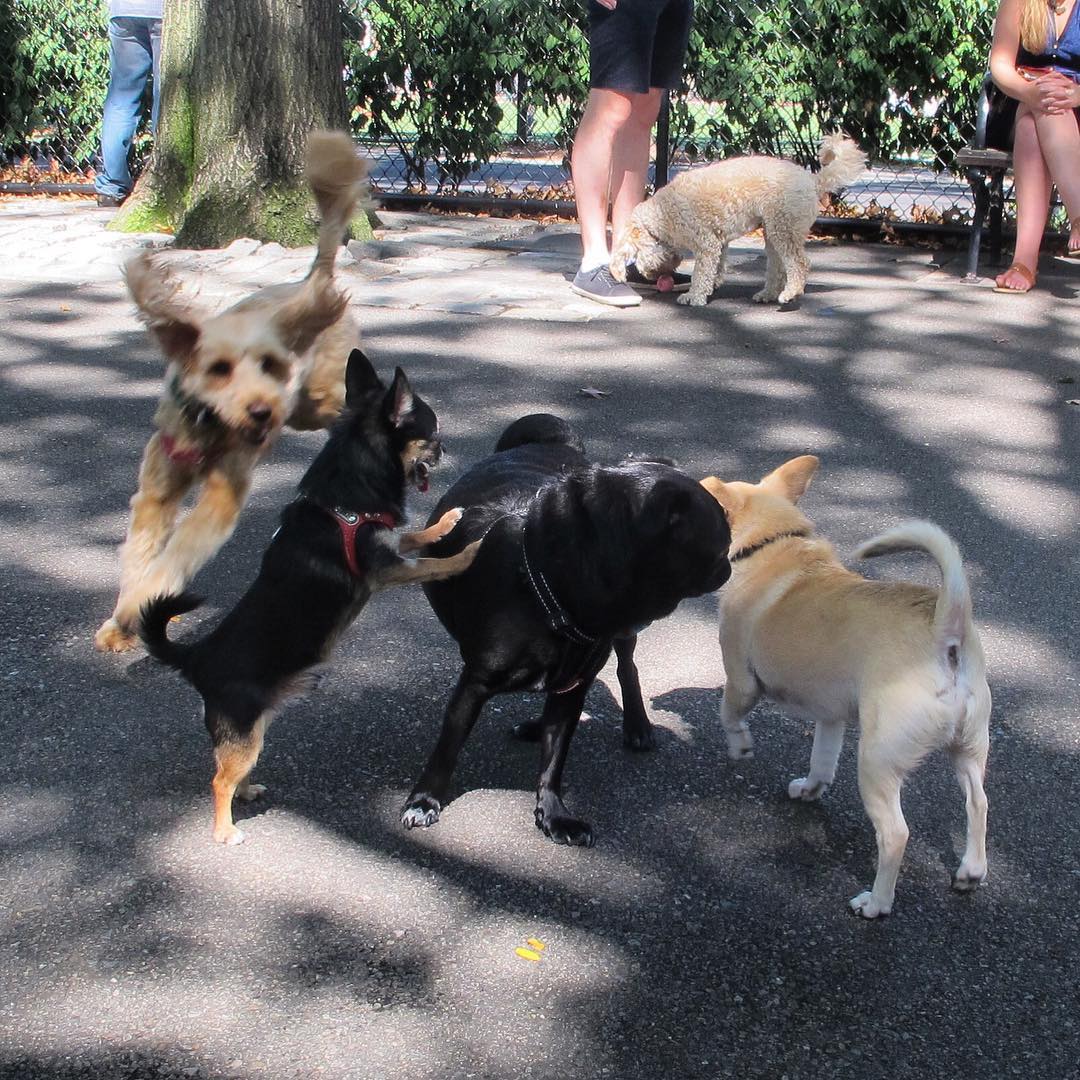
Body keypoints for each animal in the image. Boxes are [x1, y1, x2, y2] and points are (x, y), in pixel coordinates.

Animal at [97, 130, 367, 652]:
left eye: (270, 365)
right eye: (218, 369)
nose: (261, 411)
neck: (209, 424)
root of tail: (309, 285)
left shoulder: (221, 498)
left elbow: (175, 557)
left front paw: (139, 606)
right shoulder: (156, 493)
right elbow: (140, 553)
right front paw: (121, 620)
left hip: (317, 396)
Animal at [141, 349, 479, 846]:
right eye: (432, 435)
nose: (445, 449)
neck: (348, 493)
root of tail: (196, 658)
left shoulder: (389, 546)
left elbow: (415, 535)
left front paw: (448, 522)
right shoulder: (386, 570)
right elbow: (433, 563)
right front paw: (469, 552)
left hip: (253, 729)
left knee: (231, 769)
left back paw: (247, 792)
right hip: (244, 733)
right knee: (218, 779)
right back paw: (225, 831)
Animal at [399, 412, 734, 842]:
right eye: (719, 542)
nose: (728, 564)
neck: (546, 586)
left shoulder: (572, 689)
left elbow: (554, 759)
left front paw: (554, 814)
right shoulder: (473, 687)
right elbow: (447, 748)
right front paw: (425, 800)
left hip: (619, 641)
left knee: (627, 669)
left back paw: (636, 725)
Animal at [609, 134, 868, 306]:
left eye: (634, 255)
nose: (649, 276)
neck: (661, 214)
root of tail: (813, 181)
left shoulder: (706, 243)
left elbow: (701, 272)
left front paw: (694, 295)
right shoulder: (719, 242)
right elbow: (717, 267)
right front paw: (712, 285)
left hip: (784, 228)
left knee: (800, 264)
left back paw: (790, 293)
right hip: (773, 232)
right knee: (777, 268)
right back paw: (768, 294)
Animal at [695, 455, 989, 920]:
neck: (773, 545)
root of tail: (946, 628)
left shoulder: (741, 679)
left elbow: (729, 713)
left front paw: (739, 746)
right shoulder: (830, 718)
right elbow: (822, 760)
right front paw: (811, 789)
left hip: (876, 762)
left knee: (896, 835)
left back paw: (876, 902)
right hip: (969, 750)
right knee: (977, 803)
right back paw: (971, 871)